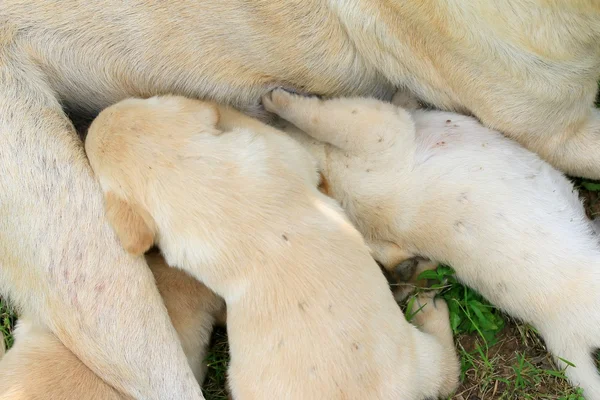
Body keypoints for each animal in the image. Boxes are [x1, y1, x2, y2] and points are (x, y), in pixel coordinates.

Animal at [83, 95, 460, 398]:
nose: (90, 120)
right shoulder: (279, 148)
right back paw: (429, 309)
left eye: (139, 101)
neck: (189, 178)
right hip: (419, 358)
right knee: (447, 372)